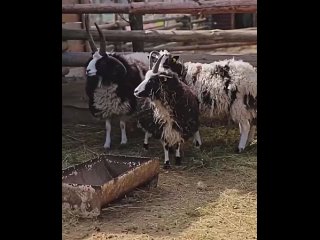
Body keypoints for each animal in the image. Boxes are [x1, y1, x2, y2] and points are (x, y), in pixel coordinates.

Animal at [85, 15, 150, 148]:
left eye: (103, 63)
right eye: (91, 59)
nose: (87, 70)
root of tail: (143, 53)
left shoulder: (123, 106)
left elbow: (122, 124)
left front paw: (123, 141)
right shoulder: (105, 108)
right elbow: (108, 127)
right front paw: (107, 144)